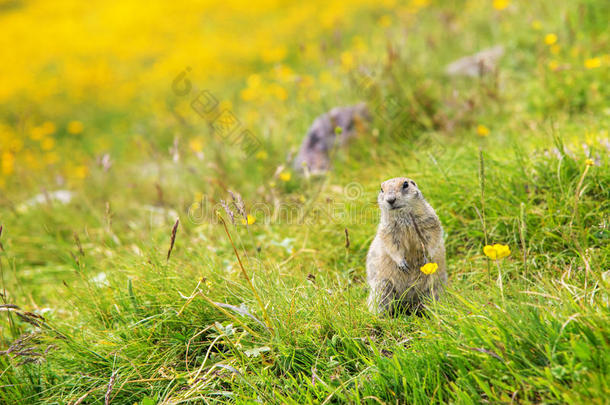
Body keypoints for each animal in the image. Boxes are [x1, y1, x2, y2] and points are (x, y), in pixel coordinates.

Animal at [364, 178, 444, 316]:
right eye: (381, 189)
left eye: (405, 184)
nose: (390, 199)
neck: (403, 216)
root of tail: (408, 303)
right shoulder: (388, 229)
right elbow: (391, 245)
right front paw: (402, 264)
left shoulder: (429, 219)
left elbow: (433, 237)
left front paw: (426, 258)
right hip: (381, 288)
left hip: (434, 287)